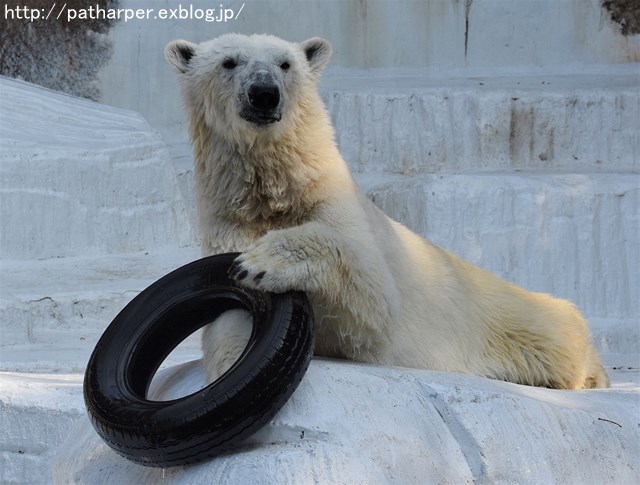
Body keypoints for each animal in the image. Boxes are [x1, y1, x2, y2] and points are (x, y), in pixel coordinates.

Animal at [165, 33, 608, 390]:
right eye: (229, 62)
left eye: (285, 63)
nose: (264, 93)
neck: (274, 191)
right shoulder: (228, 222)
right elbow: (230, 321)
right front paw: (232, 370)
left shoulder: (339, 210)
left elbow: (374, 294)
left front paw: (262, 262)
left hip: (514, 316)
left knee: (558, 333)